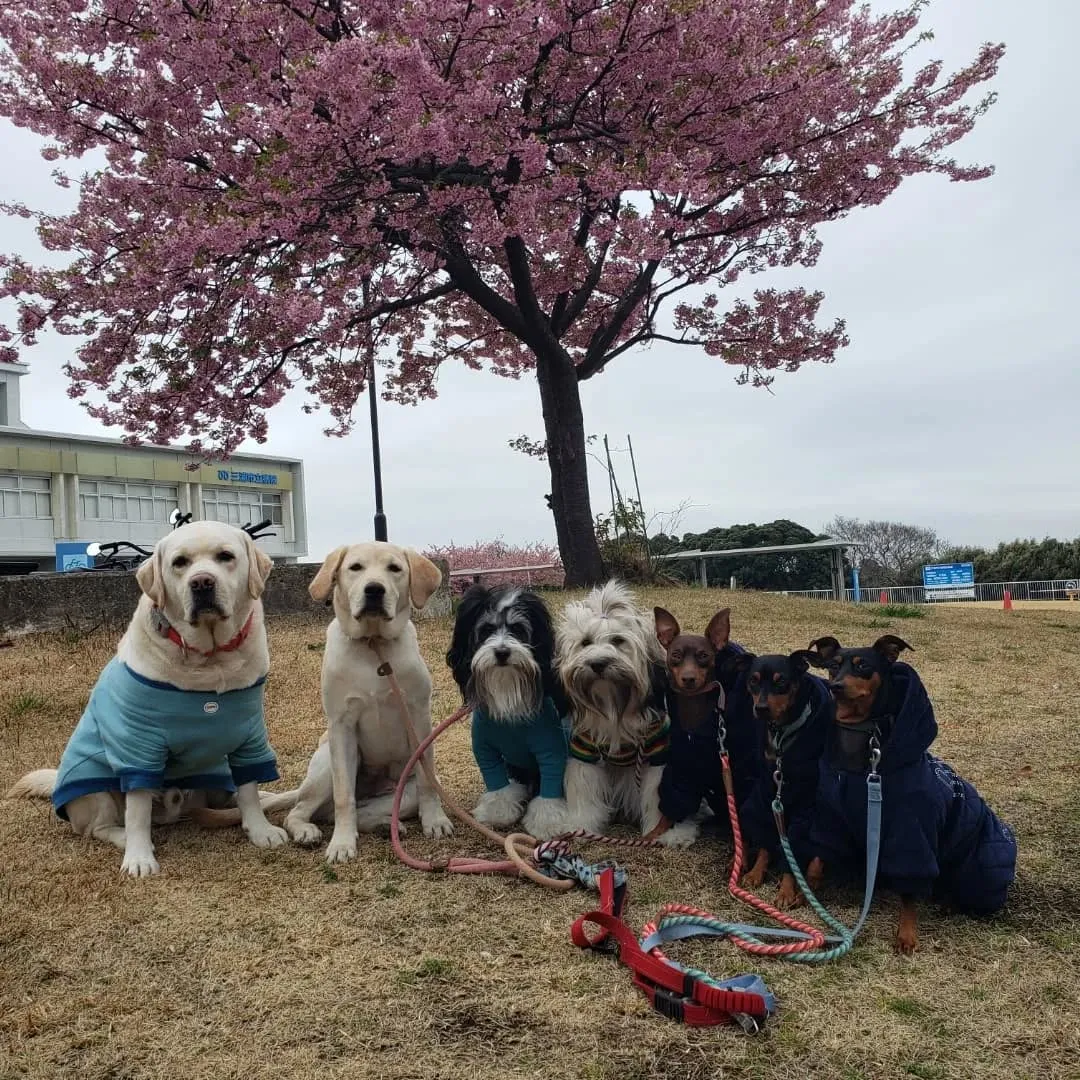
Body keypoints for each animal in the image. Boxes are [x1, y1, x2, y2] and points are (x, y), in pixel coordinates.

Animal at [444, 587, 570, 838]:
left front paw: (547, 823)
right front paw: (498, 813)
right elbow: (495, 781)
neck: (508, 692)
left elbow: (550, 789)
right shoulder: (485, 750)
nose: (502, 652)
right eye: (486, 630)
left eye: (518, 629)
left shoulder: (551, 752)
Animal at [807, 630, 1015, 954]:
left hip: (975, 861)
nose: (835, 686)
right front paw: (805, 887)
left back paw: (949, 902)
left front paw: (906, 934)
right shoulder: (831, 813)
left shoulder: (911, 831)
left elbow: (909, 889)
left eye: (863, 665)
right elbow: (817, 855)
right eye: (832, 666)